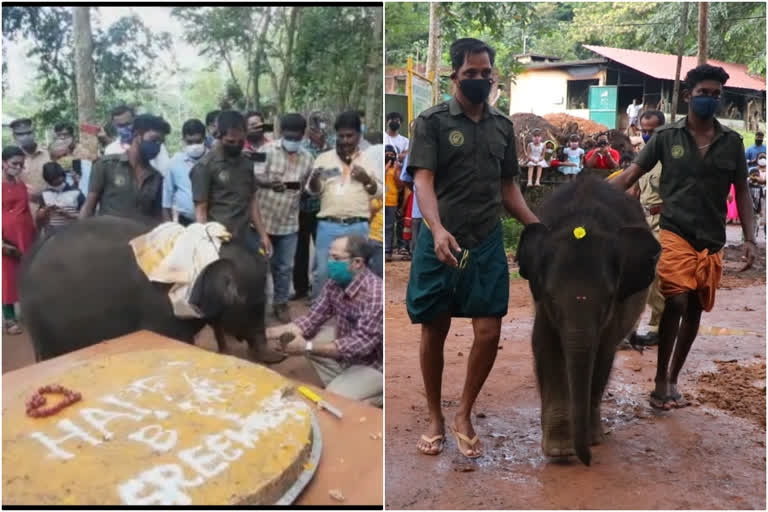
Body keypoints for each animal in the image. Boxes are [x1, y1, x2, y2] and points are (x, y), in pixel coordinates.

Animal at [516, 178, 660, 466]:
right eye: (550, 296)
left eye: (608, 298)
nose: (589, 460)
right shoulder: (542, 305)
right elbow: (546, 348)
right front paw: (560, 452)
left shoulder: (617, 308)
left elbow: (603, 354)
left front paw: (592, 440)